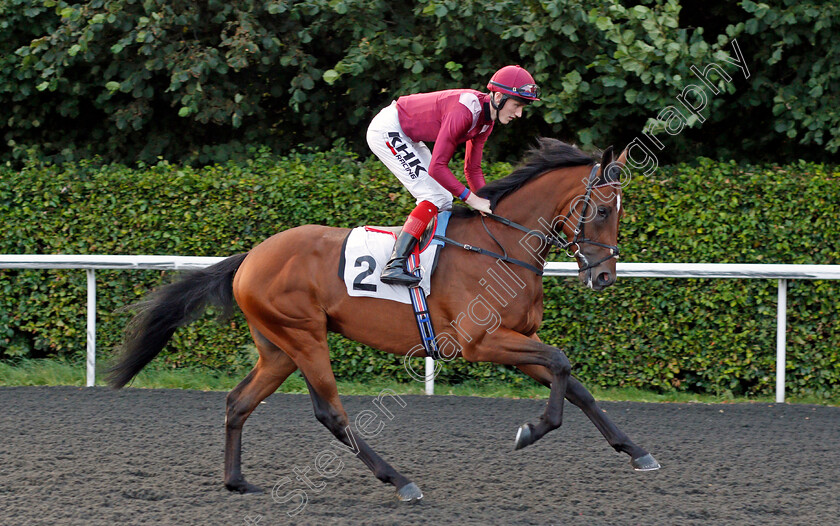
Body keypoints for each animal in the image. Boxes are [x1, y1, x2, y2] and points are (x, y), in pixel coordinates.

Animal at [108, 139, 664, 504]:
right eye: (601, 210)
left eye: (619, 212)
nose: (604, 276)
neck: (501, 246)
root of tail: (250, 258)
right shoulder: (482, 341)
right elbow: (562, 364)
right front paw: (531, 430)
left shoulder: (516, 338)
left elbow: (575, 383)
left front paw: (637, 451)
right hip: (305, 338)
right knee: (331, 415)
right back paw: (399, 481)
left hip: (278, 349)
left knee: (238, 402)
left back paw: (236, 481)